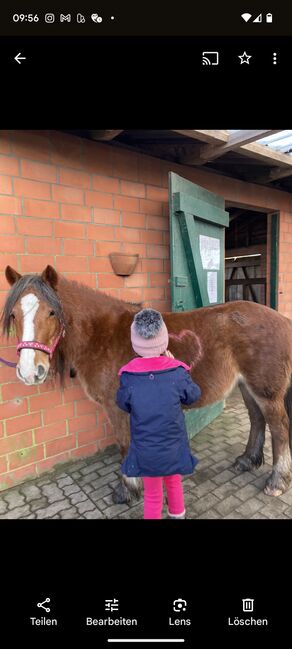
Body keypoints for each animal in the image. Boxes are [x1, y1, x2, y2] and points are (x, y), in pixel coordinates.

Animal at [1, 264, 292, 502]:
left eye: (52, 312)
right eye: (13, 315)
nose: (30, 371)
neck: (102, 334)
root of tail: (281, 319)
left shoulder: (116, 408)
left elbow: (124, 444)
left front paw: (127, 490)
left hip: (266, 391)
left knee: (279, 428)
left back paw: (276, 482)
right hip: (247, 386)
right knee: (256, 419)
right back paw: (247, 461)